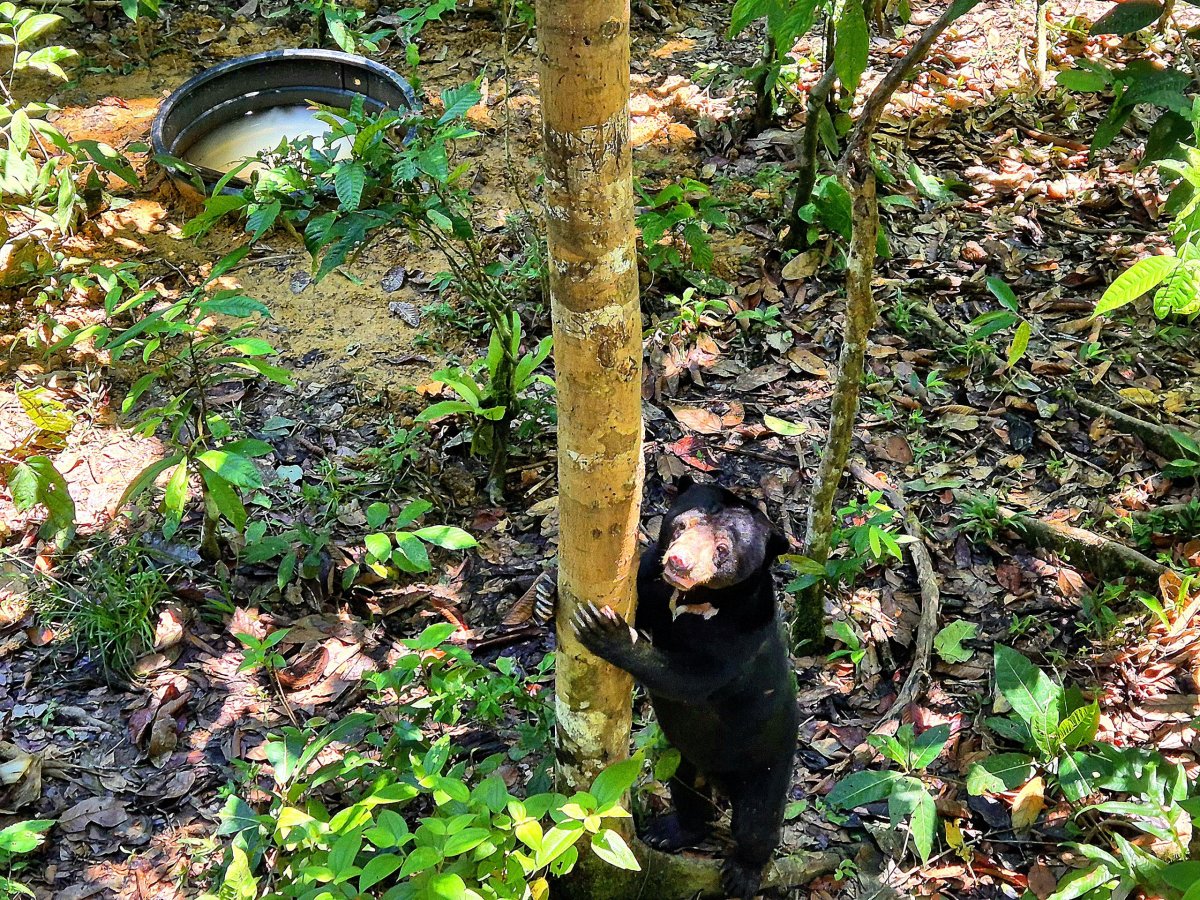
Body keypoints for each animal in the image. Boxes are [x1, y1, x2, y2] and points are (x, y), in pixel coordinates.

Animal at [571, 475, 797, 899]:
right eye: (681, 526)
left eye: (723, 549)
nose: (678, 563)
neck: (693, 599)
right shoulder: (650, 581)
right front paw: (546, 594)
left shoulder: (740, 635)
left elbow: (688, 679)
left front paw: (604, 631)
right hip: (686, 763)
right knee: (691, 799)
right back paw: (669, 832)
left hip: (768, 759)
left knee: (757, 822)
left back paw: (743, 873)